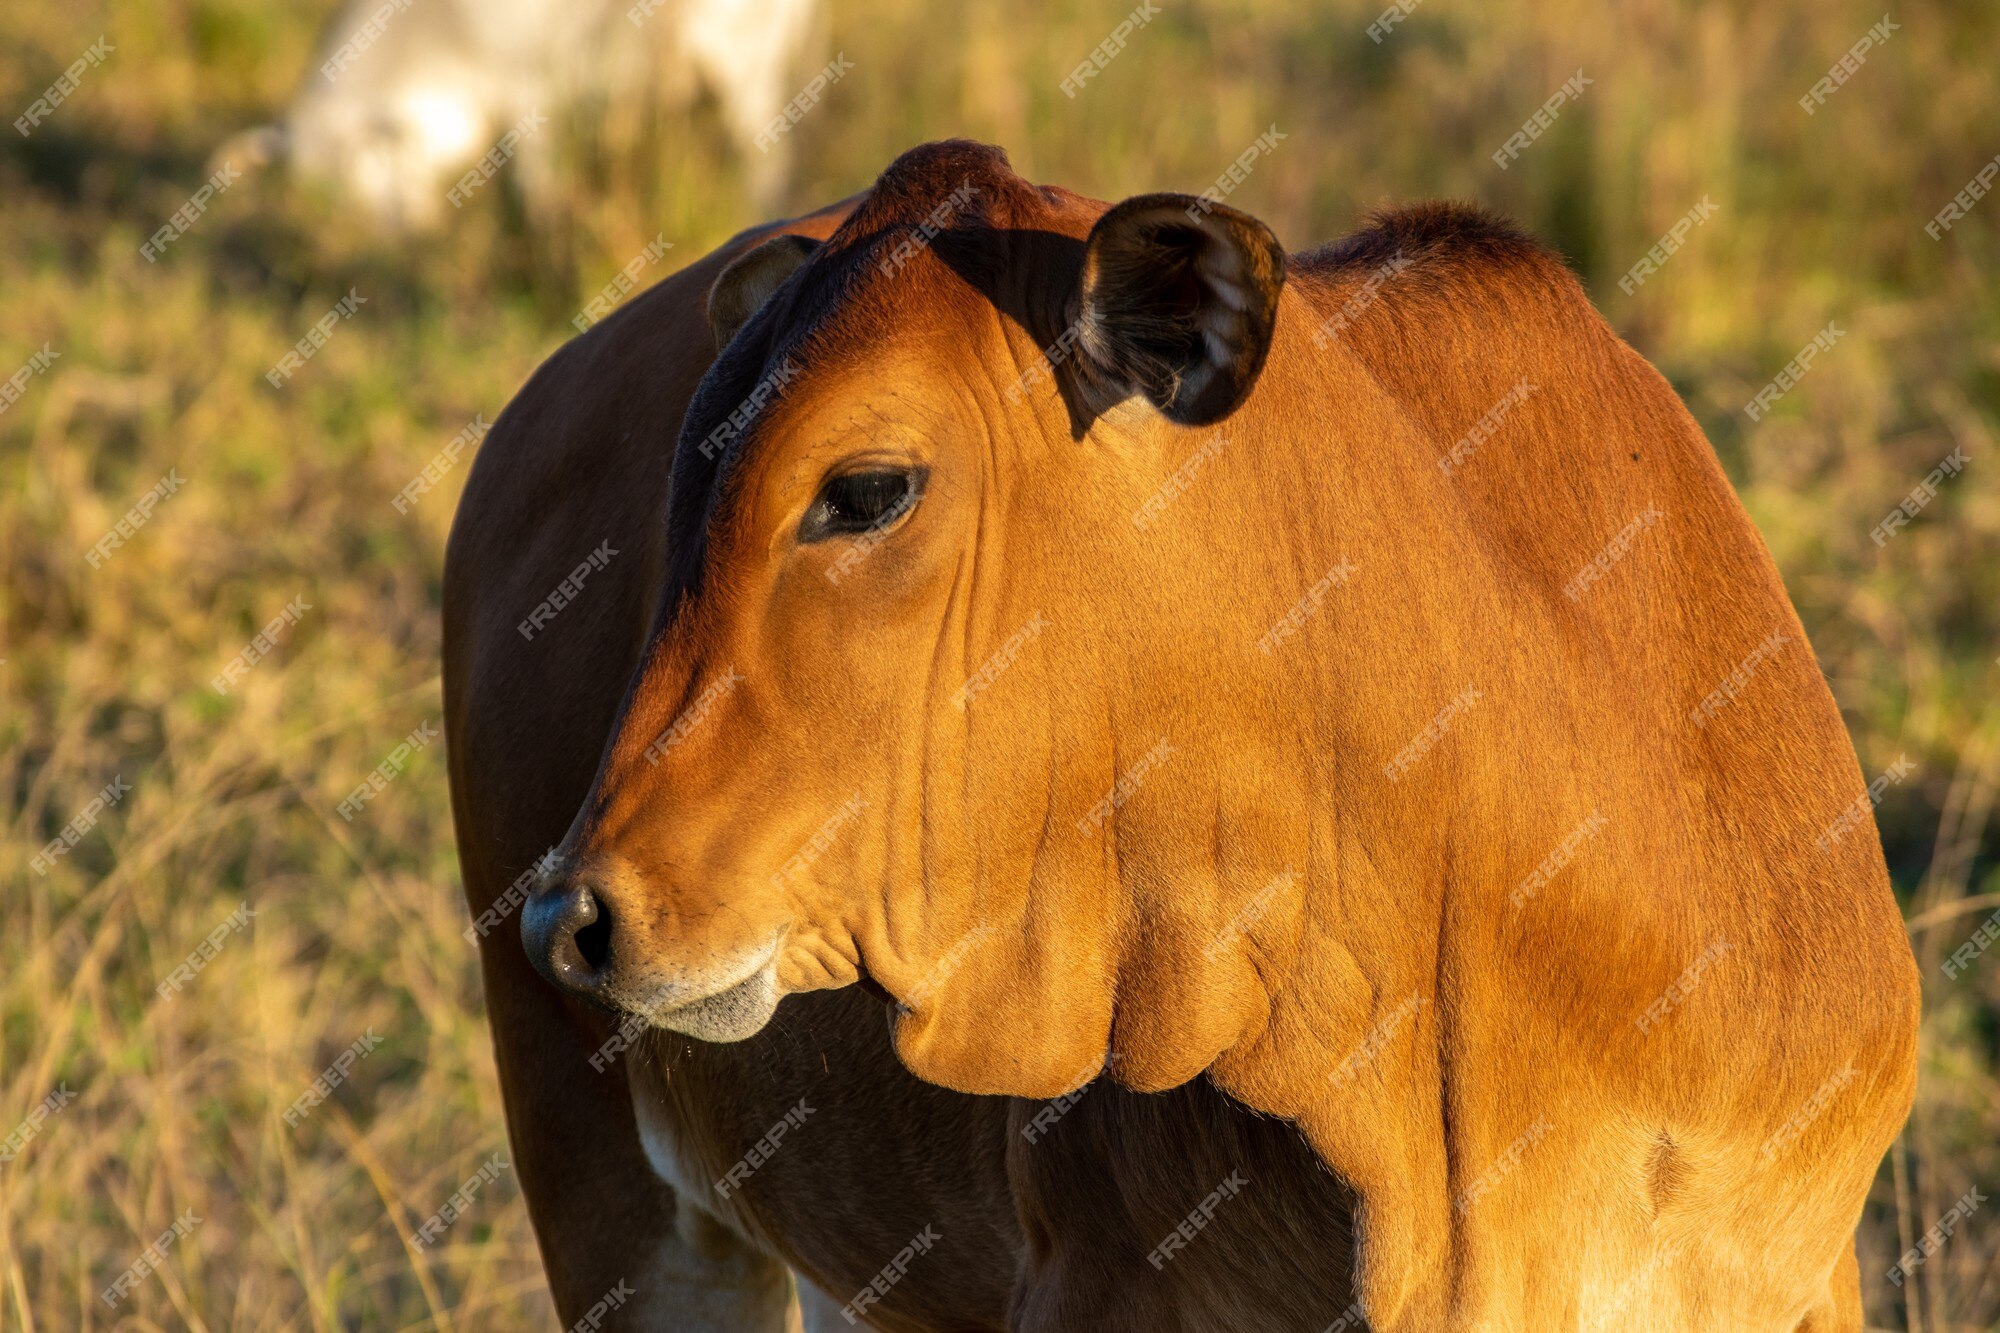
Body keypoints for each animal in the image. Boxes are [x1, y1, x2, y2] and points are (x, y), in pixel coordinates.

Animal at [240, 0, 820, 228]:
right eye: (321, 195)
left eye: (371, 159)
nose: (403, 232)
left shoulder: (529, 91)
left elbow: (535, 181)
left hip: (746, 61)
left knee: (766, 156)